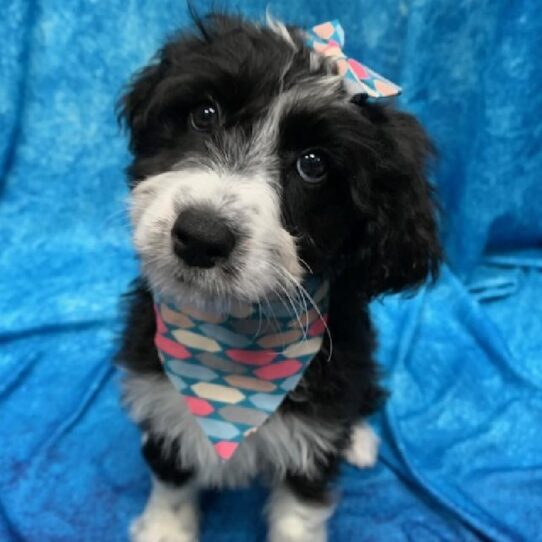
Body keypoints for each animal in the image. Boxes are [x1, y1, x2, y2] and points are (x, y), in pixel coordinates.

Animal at [116, 12, 442, 542]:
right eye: (204, 114)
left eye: (313, 164)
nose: (201, 236)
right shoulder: (161, 399)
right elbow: (172, 475)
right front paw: (163, 529)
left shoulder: (315, 427)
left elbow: (300, 508)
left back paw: (360, 440)